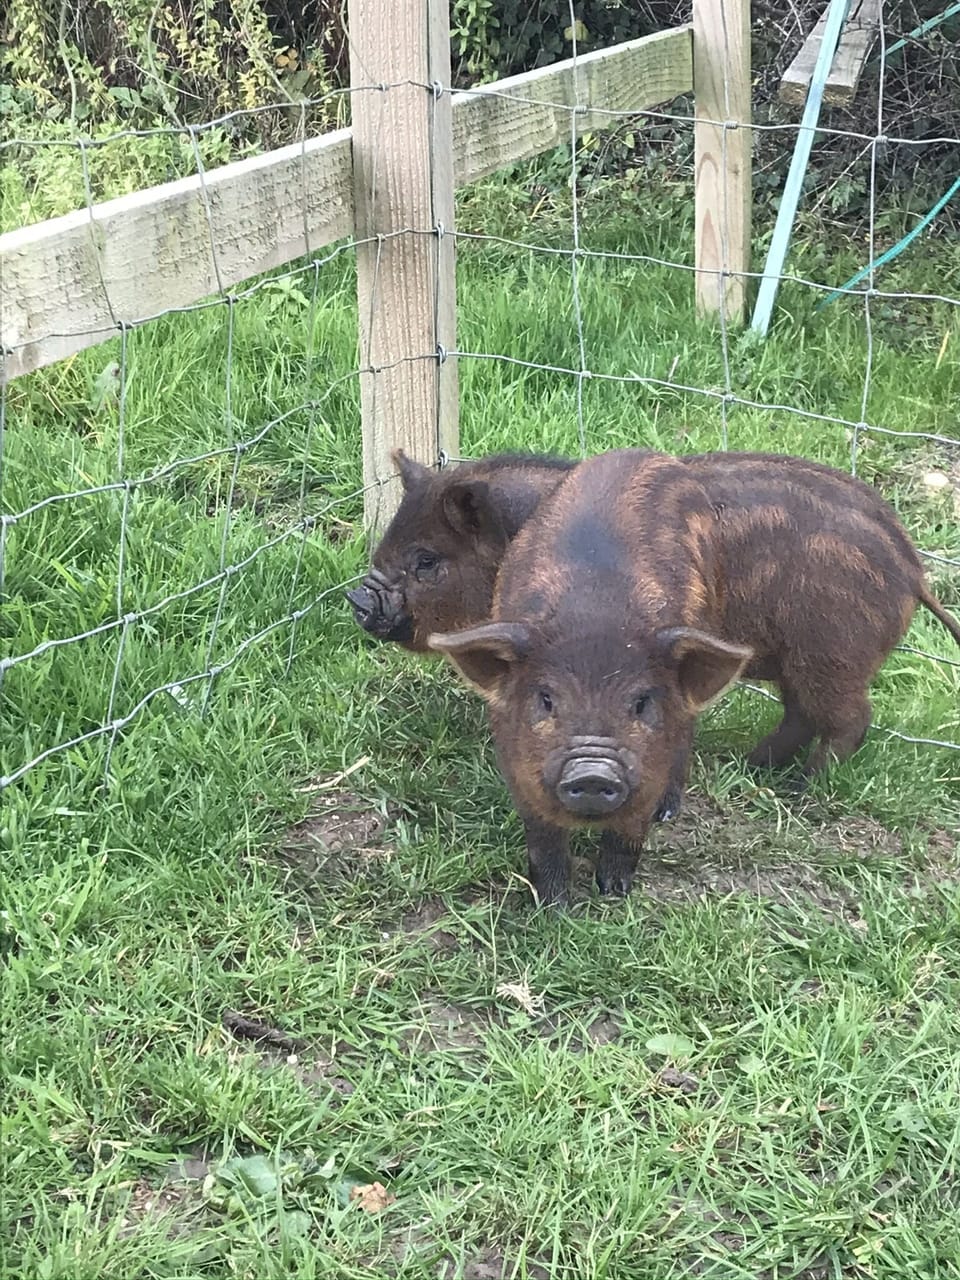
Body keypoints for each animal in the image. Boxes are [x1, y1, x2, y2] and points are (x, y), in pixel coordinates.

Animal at [352, 447, 960, 788]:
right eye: (388, 545)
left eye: (426, 561)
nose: (360, 598)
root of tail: (913, 569)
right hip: (800, 658)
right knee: (802, 714)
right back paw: (751, 767)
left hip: (831, 654)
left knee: (849, 719)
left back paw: (805, 789)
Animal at [428, 450, 754, 905]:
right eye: (547, 699)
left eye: (641, 702)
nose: (593, 772)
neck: (595, 613)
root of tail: (648, 454)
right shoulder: (519, 767)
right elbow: (543, 839)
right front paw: (554, 906)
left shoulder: (647, 769)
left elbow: (630, 831)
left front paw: (613, 894)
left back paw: (669, 812)